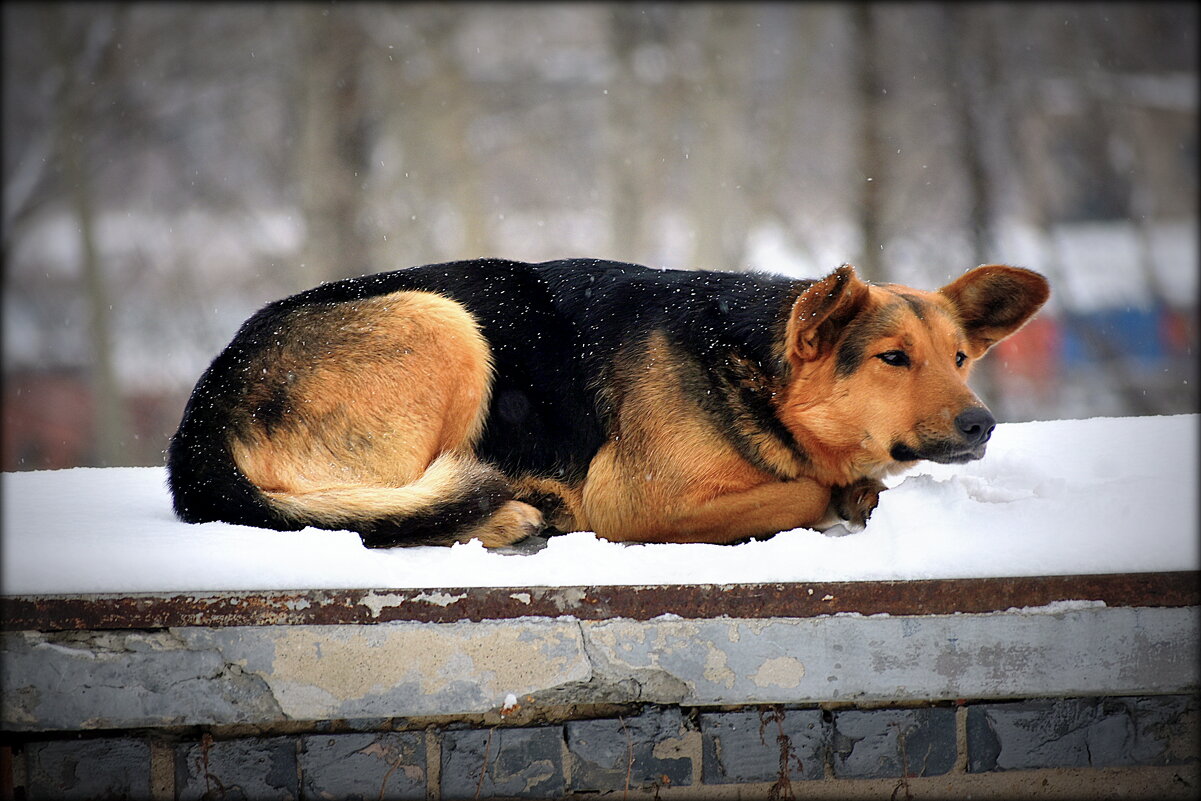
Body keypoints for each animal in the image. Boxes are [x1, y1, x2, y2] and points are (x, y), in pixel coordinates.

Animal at [169, 260, 1052, 547]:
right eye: (891, 358)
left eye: (960, 358)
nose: (981, 424)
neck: (750, 362)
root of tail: (202, 412)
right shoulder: (637, 501)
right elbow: (801, 490)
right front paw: (837, 495)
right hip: (440, 319)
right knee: (373, 513)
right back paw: (508, 514)